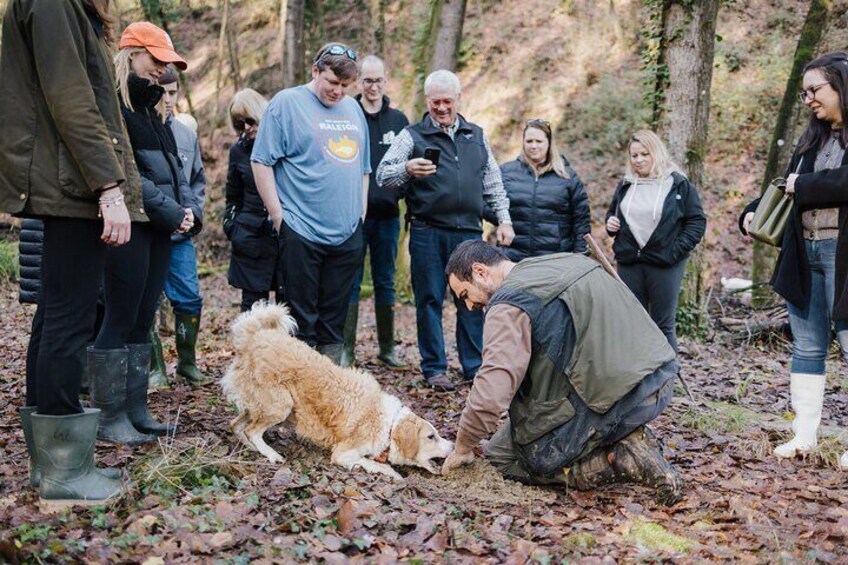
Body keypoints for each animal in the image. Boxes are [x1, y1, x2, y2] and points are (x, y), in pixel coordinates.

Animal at [222, 302, 454, 478]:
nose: (453, 446)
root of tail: (253, 337)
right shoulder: (343, 453)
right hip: (280, 405)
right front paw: (392, 474)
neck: (389, 427)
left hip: (260, 404)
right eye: (431, 436)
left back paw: (251, 448)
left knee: (237, 425)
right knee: (252, 430)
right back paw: (271, 455)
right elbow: (374, 464)